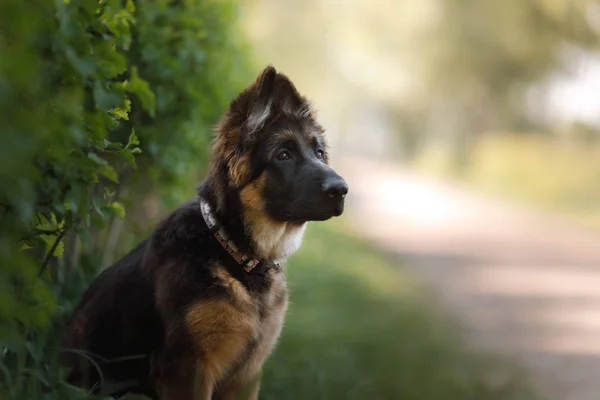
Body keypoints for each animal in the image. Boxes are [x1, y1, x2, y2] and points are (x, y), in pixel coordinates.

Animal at [62, 66, 346, 400]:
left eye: (319, 153)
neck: (235, 252)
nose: (342, 190)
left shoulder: (246, 376)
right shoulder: (190, 370)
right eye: (283, 155)